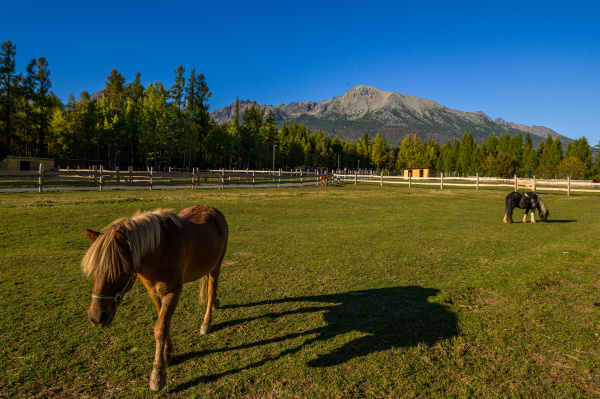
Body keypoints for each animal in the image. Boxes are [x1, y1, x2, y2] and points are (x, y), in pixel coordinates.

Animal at [81, 205, 229, 392]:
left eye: (119, 270)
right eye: (93, 271)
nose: (96, 317)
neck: (159, 251)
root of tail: (215, 211)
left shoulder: (172, 292)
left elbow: (160, 328)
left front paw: (158, 375)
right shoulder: (153, 291)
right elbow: (164, 321)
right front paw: (167, 353)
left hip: (216, 266)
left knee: (211, 291)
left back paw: (206, 322)